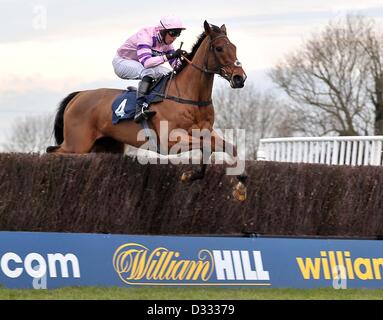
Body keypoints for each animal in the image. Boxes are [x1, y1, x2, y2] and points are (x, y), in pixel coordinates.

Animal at [46, 20, 249, 200]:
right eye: (219, 48)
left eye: (234, 47)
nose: (240, 78)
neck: (190, 96)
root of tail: (78, 95)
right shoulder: (170, 140)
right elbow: (208, 146)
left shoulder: (206, 132)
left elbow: (226, 147)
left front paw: (240, 182)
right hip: (77, 145)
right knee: (52, 151)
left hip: (106, 146)